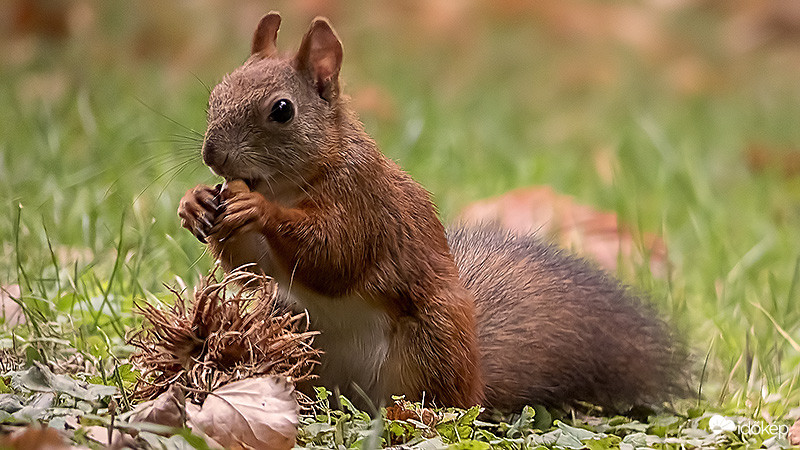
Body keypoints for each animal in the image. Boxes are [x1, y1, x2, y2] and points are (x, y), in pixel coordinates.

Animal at [178, 11, 684, 412]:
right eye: (215, 94)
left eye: (282, 110)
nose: (212, 155)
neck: (288, 184)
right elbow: (251, 270)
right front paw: (194, 202)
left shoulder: (365, 205)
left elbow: (334, 257)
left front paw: (256, 208)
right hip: (294, 328)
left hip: (431, 344)